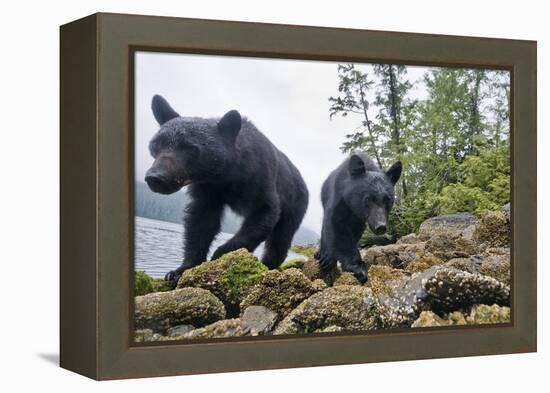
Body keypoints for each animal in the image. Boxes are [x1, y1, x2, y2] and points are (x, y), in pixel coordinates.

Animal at [146, 95, 310, 282]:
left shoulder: (259, 176)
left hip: (295, 203)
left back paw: (269, 265)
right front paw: (179, 270)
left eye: (190, 148)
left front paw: (220, 255)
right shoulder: (208, 188)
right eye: (156, 144)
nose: (155, 177)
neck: (226, 174)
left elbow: (264, 213)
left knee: (280, 238)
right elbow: (201, 221)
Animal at [316, 152, 404, 282]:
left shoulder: (359, 220)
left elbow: (354, 233)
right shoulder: (339, 198)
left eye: (387, 200)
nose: (381, 226)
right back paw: (324, 255)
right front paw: (357, 268)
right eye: (368, 199)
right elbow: (336, 226)